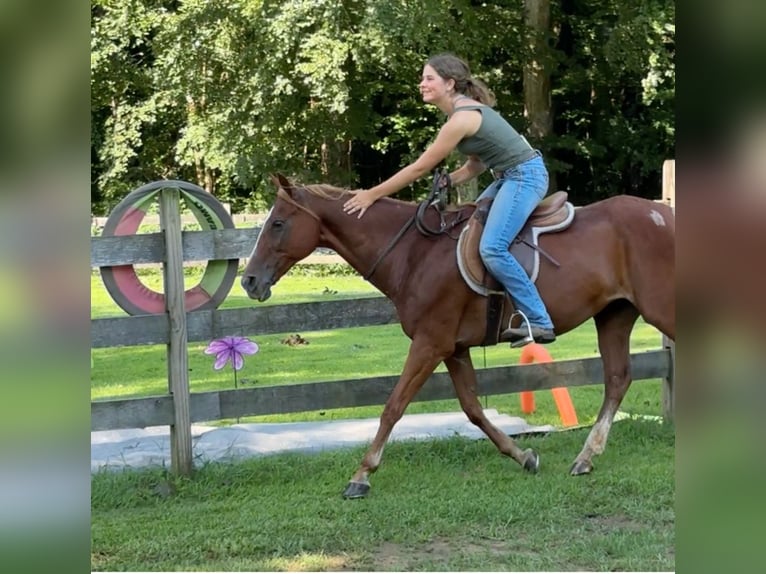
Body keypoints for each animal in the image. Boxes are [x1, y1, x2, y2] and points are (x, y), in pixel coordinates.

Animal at [243, 174, 676, 500]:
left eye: (278, 223)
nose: (249, 281)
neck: (415, 253)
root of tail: (665, 212)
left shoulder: (429, 343)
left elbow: (393, 406)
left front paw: (361, 475)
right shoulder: (454, 348)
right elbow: (472, 409)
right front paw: (522, 455)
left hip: (659, 309)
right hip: (614, 315)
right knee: (618, 379)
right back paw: (586, 458)